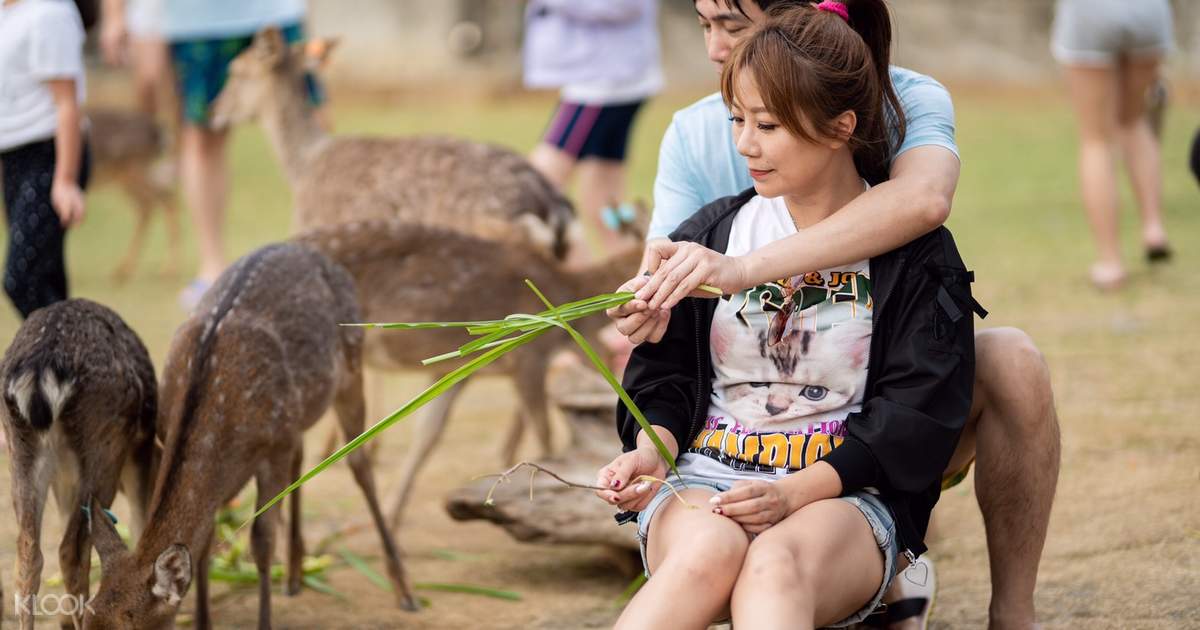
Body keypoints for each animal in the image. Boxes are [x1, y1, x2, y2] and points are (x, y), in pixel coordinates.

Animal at [1, 299, 158, 630]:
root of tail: (40, 370)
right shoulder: (141, 447)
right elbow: (141, 522)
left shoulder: (64, 476)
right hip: (105, 442)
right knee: (72, 549)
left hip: (20, 445)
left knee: (28, 552)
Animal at [81, 243, 417, 630]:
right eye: (84, 617)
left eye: (129, 626)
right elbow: (204, 544)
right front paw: (203, 622)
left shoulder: (274, 447)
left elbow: (261, 541)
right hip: (298, 414)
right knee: (303, 461)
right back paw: (294, 576)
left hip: (351, 367)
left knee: (360, 465)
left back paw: (404, 591)